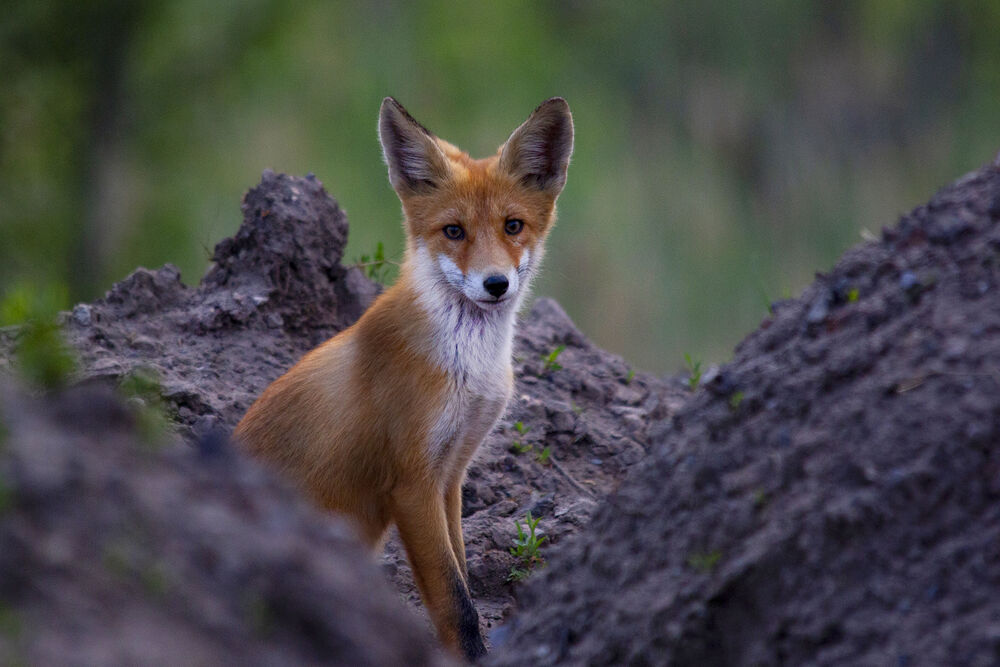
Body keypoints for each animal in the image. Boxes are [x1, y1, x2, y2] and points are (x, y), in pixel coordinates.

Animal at [234, 96, 576, 660]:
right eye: (453, 231)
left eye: (513, 225)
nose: (496, 284)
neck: (470, 367)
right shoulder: (412, 481)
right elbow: (455, 604)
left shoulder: (452, 474)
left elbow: (462, 577)